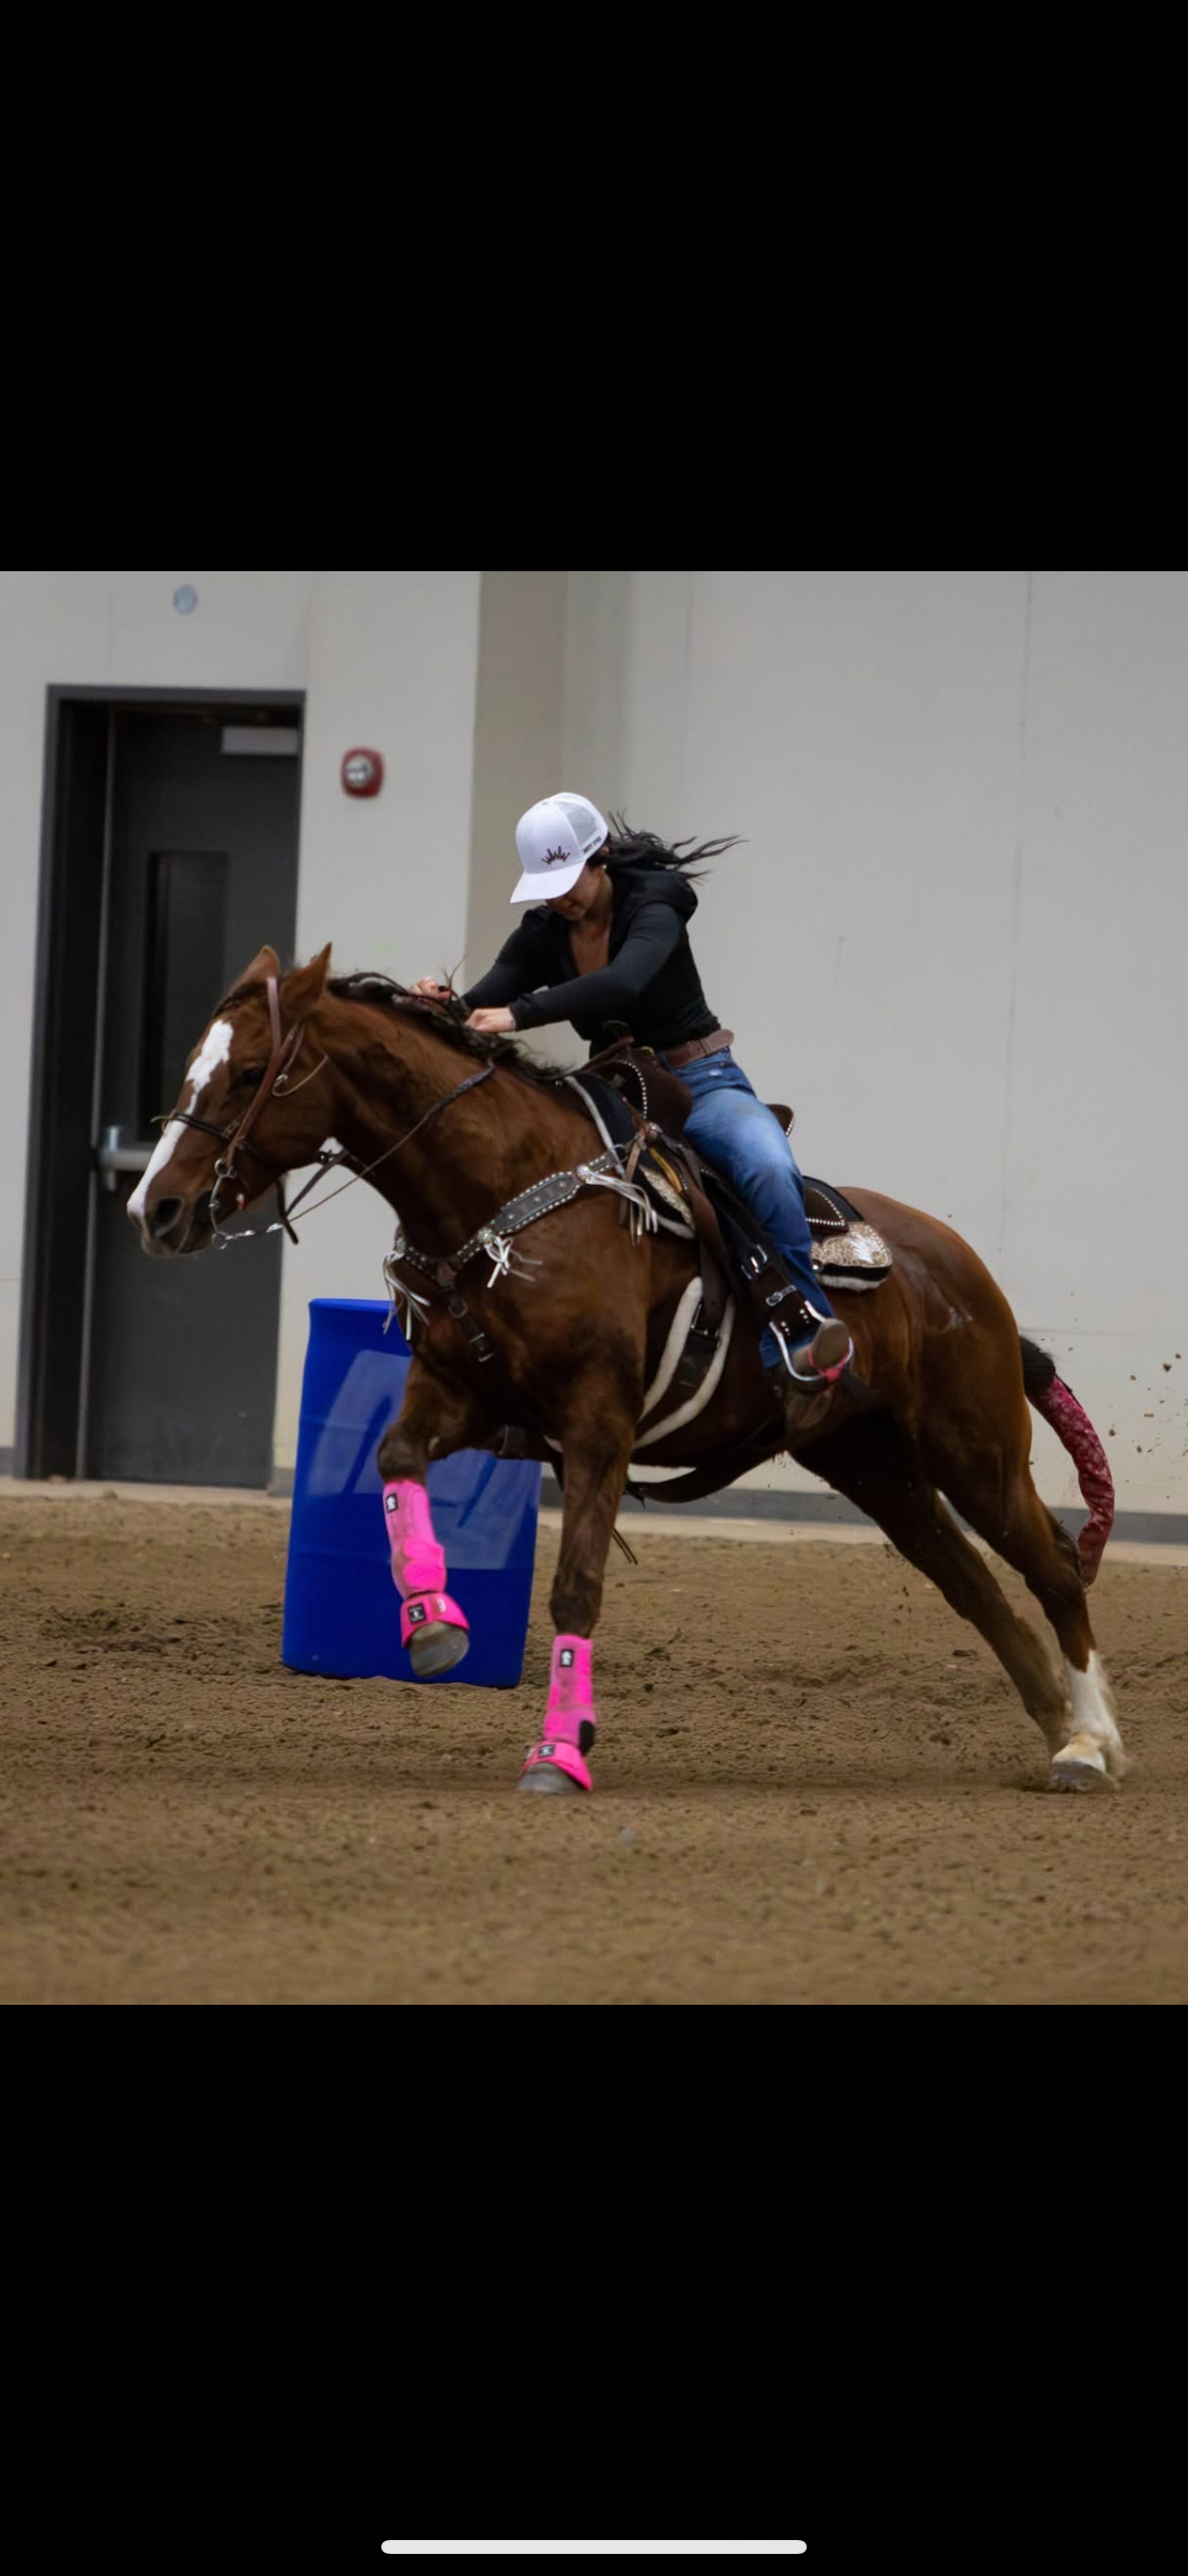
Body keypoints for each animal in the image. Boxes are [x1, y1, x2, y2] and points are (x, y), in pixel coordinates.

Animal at [127, 942, 1127, 1797]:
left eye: (252, 1072)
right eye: (195, 1066)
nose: (155, 1208)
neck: (504, 1194)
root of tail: (956, 1264)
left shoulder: (597, 1425)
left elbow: (576, 1589)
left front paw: (558, 1753)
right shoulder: (458, 1398)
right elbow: (394, 1460)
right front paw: (433, 1624)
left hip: (974, 1445)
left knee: (1050, 1568)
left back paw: (1090, 1742)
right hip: (870, 1459)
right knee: (968, 1580)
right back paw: (1058, 1723)